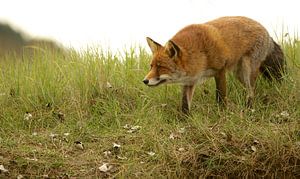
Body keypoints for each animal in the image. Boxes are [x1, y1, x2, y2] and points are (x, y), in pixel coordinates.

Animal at [142, 16, 284, 114]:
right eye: (151, 66)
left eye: (161, 67)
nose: (144, 81)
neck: (198, 52)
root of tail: (266, 31)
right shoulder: (190, 81)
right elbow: (185, 104)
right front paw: (184, 120)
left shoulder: (220, 70)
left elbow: (220, 97)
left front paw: (222, 113)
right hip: (240, 74)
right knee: (250, 90)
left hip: (247, 71)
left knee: (251, 92)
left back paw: (248, 108)